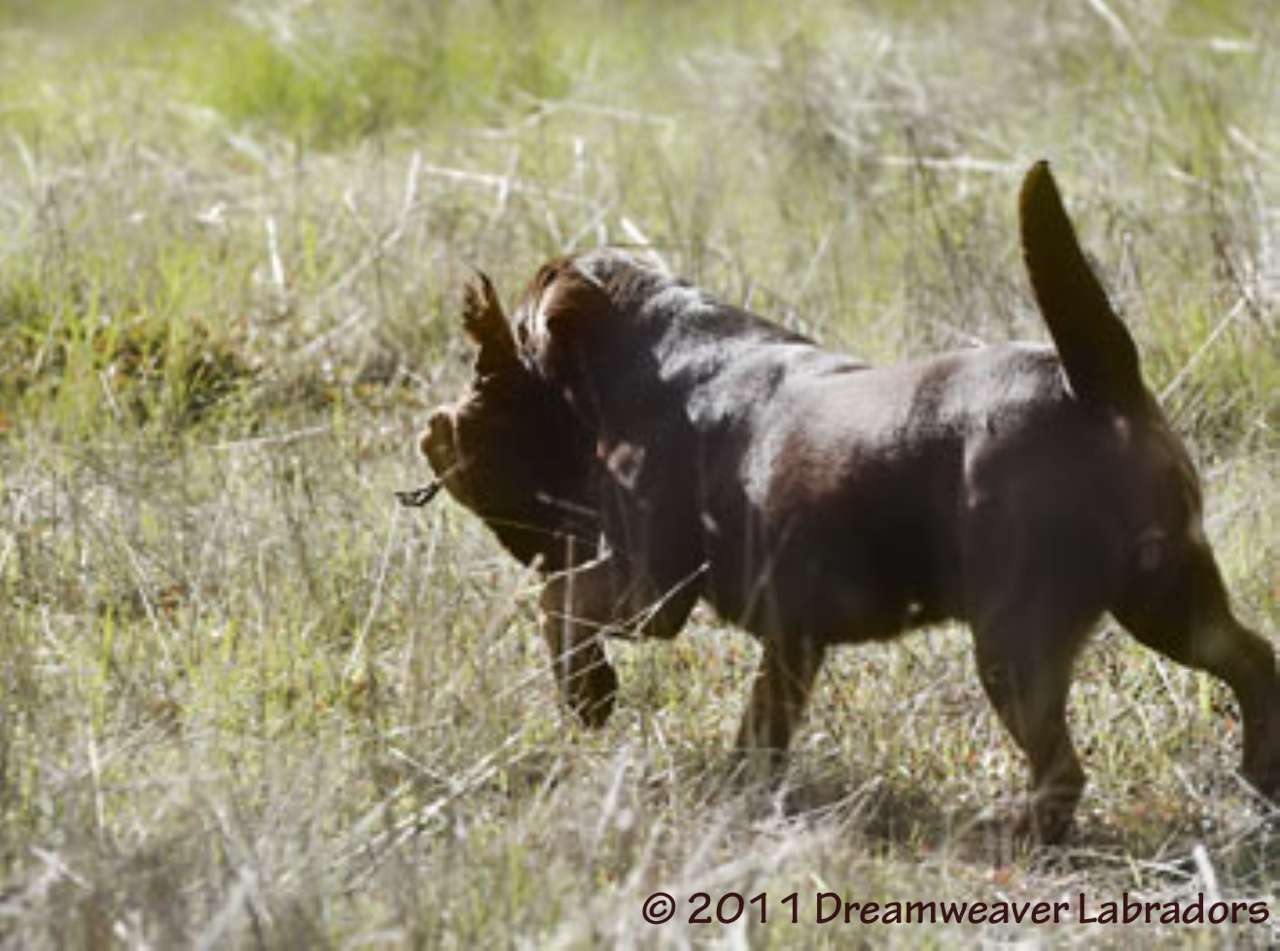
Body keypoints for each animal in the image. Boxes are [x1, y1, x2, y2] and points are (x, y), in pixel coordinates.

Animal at [419, 161, 1280, 839]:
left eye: (516, 332)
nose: (457, 410)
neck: (659, 348)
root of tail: (1093, 384)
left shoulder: (649, 587)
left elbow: (558, 601)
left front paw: (590, 697)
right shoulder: (792, 636)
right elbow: (763, 721)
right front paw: (743, 790)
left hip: (1018, 635)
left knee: (1064, 764)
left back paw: (1021, 832)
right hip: (1167, 595)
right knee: (1252, 658)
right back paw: (1258, 777)